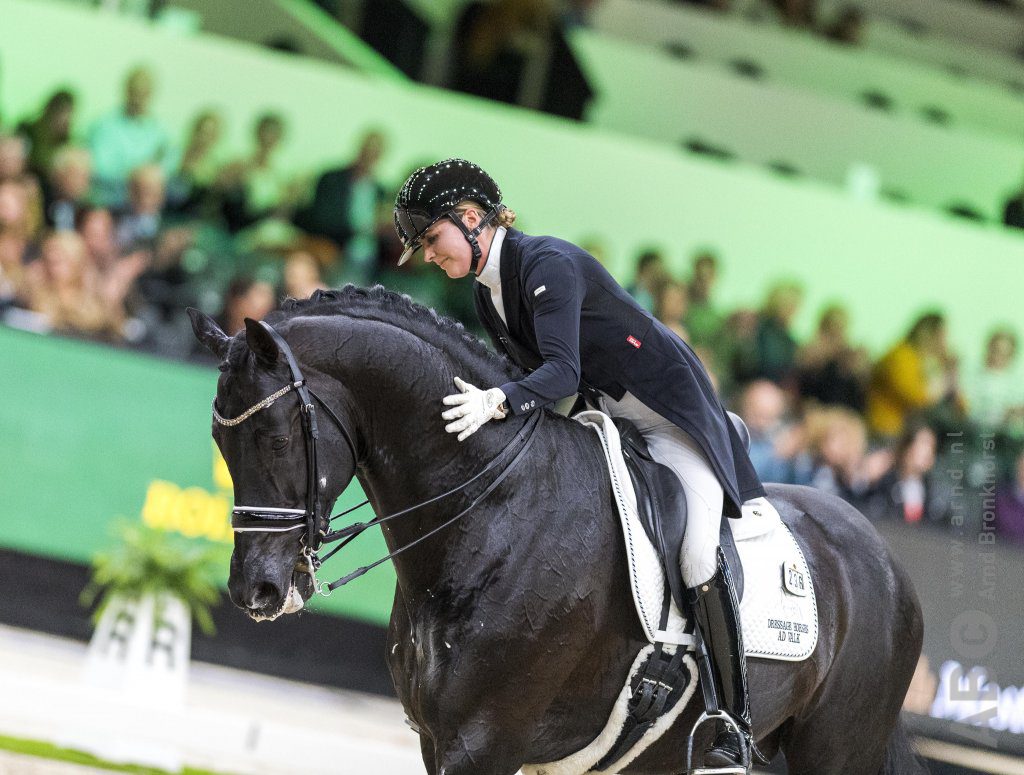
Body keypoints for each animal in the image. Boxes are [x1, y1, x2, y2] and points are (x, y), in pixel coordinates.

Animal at [189, 286, 925, 775]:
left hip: (836, 752)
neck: (491, 515)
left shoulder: (485, 742)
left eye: (276, 436)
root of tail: (886, 559)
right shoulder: (438, 738)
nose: (255, 590)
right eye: (220, 444)